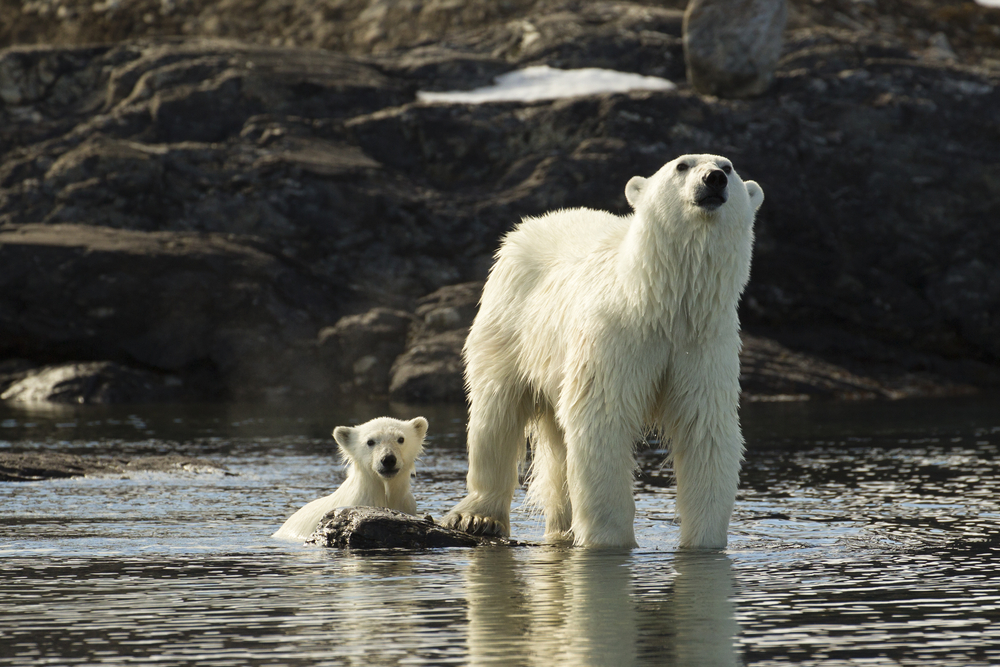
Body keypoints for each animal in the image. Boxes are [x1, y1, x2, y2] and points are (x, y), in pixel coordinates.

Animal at [442, 154, 763, 549]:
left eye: (728, 166)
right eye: (682, 166)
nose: (714, 179)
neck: (660, 302)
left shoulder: (704, 342)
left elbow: (705, 426)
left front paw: (704, 542)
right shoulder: (614, 333)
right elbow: (603, 417)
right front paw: (609, 540)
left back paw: (561, 528)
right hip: (508, 319)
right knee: (495, 412)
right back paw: (478, 517)